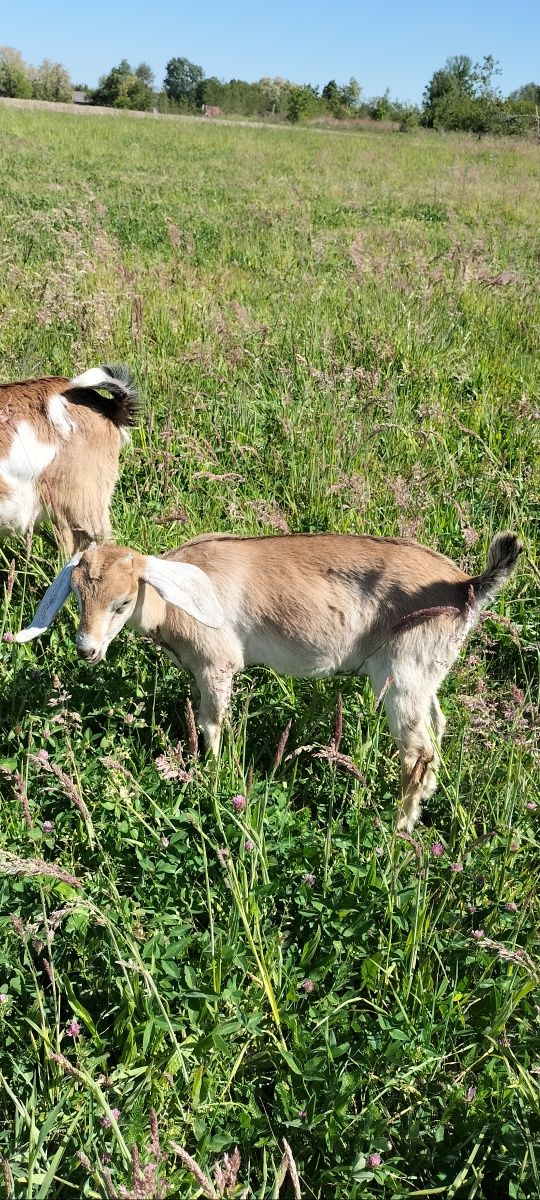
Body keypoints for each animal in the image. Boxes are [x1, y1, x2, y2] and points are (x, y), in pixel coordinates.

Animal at [15, 530, 523, 830]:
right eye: (77, 596)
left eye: (122, 602)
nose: (87, 649)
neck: (170, 601)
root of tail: (466, 586)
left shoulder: (216, 664)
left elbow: (212, 724)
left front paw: (214, 775)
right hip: (426, 675)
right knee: (437, 730)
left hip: (402, 674)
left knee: (418, 753)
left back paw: (396, 828)